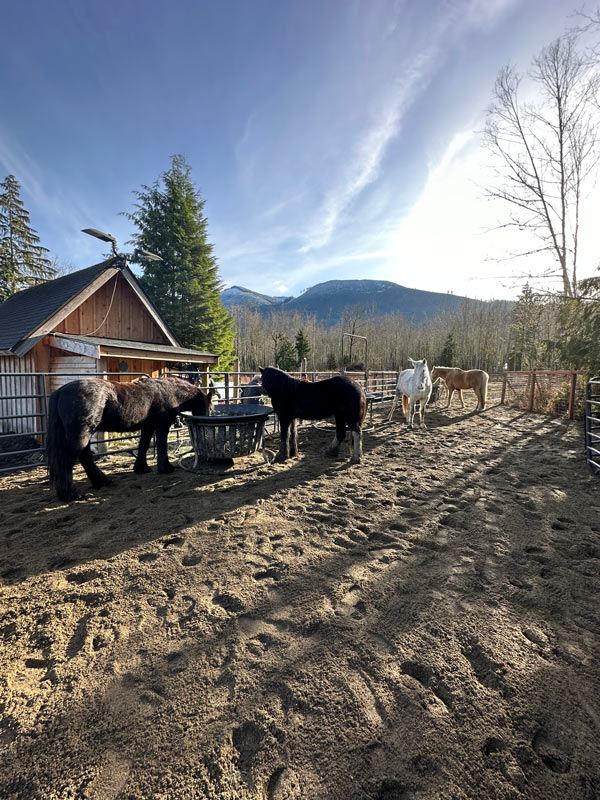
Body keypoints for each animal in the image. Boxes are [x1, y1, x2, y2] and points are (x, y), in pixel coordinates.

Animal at [47, 376, 216, 500]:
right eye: (210, 406)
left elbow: (144, 445)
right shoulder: (162, 425)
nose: (206, 420)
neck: (170, 391)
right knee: (70, 460)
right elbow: (161, 444)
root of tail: (61, 391)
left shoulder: (148, 426)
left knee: (85, 457)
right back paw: (70, 494)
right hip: (83, 433)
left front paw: (141, 468)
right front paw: (165, 468)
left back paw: (101, 481)